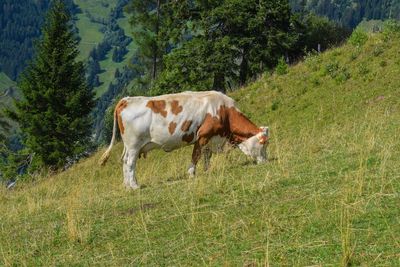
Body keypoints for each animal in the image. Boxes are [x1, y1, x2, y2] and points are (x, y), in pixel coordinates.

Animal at [99, 91, 268, 189]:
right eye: (263, 143)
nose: (266, 161)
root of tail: (127, 100)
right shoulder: (202, 136)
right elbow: (196, 155)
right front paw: (191, 173)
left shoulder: (211, 138)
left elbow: (207, 156)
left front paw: (207, 170)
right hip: (134, 144)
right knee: (130, 163)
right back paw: (134, 185)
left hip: (128, 146)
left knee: (124, 161)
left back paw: (126, 185)